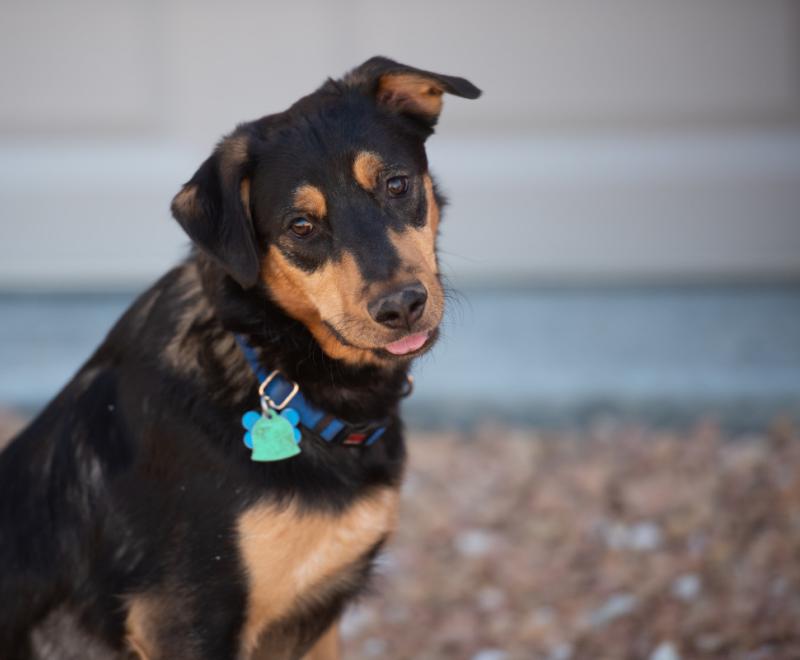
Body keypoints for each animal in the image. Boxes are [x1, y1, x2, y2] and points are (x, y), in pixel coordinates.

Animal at [0, 58, 476, 660]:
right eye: (301, 226)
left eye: (396, 184)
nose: (402, 306)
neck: (276, 371)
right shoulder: (187, 620)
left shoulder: (318, 620)